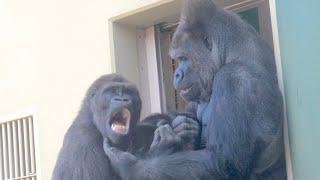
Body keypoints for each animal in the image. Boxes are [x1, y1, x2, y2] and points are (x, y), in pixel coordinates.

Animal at [104, 0, 286, 180]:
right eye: (178, 59)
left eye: (183, 58)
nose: (177, 74)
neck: (238, 52)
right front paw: (183, 128)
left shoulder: (234, 78)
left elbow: (223, 161)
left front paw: (129, 165)